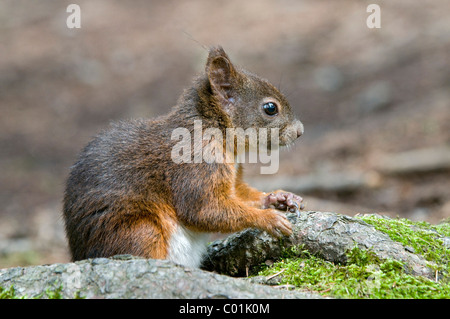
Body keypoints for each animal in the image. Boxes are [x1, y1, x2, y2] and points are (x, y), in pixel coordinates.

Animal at [63, 46, 304, 268]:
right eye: (270, 108)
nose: (300, 131)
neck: (214, 131)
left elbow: (239, 194)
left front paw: (279, 197)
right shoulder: (196, 163)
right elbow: (204, 209)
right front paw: (268, 219)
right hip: (139, 232)